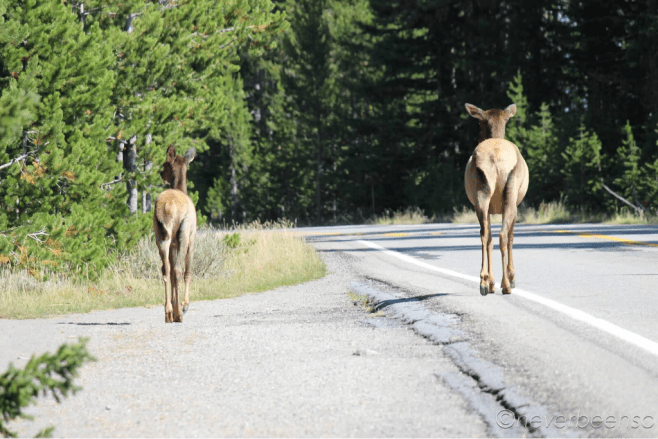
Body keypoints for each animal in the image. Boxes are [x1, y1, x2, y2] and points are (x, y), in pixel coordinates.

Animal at [464, 103, 529, 296]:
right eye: (479, 123)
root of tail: (494, 157)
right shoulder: (516, 206)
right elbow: (511, 237)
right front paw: (512, 278)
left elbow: (489, 239)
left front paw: (491, 281)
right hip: (511, 195)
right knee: (503, 235)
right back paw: (506, 284)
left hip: (481, 196)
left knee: (485, 235)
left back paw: (484, 282)